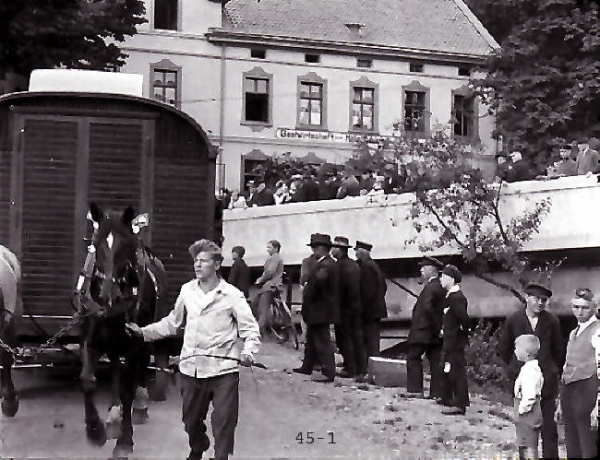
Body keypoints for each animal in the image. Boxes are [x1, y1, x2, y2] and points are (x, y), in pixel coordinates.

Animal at [77, 203, 169, 458]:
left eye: (126, 246)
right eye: (95, 244)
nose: (110, 296)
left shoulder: (133, 341)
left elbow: (128, 388)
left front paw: (124, 442)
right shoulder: (91, 338)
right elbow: (87, 380)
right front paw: (95, 431)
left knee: (140, 367)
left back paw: (139, 406)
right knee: (116, 368)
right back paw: (112, 415)